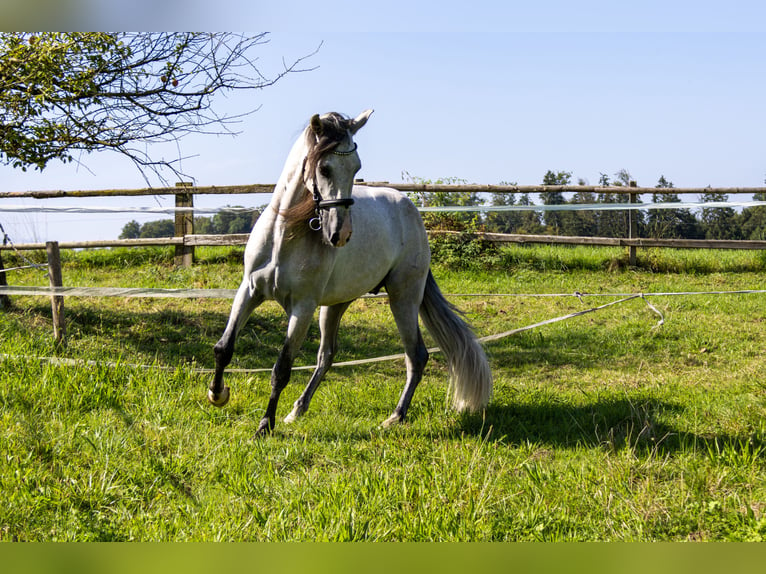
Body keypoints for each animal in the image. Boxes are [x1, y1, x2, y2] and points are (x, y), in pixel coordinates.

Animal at [207, 110, 496, 436]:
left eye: (356, 167)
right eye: (324, 167)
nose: (340, 234)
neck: (284, 234)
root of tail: (410, 210)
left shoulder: (302, 308)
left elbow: (282, 368)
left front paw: (264, 427)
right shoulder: (249, 292)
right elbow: (224, 347)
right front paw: (217, 395)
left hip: (403, 299)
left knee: (416, 355)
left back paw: (395, 417)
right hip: (335, 305)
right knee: (327, 356)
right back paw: (297, 410)